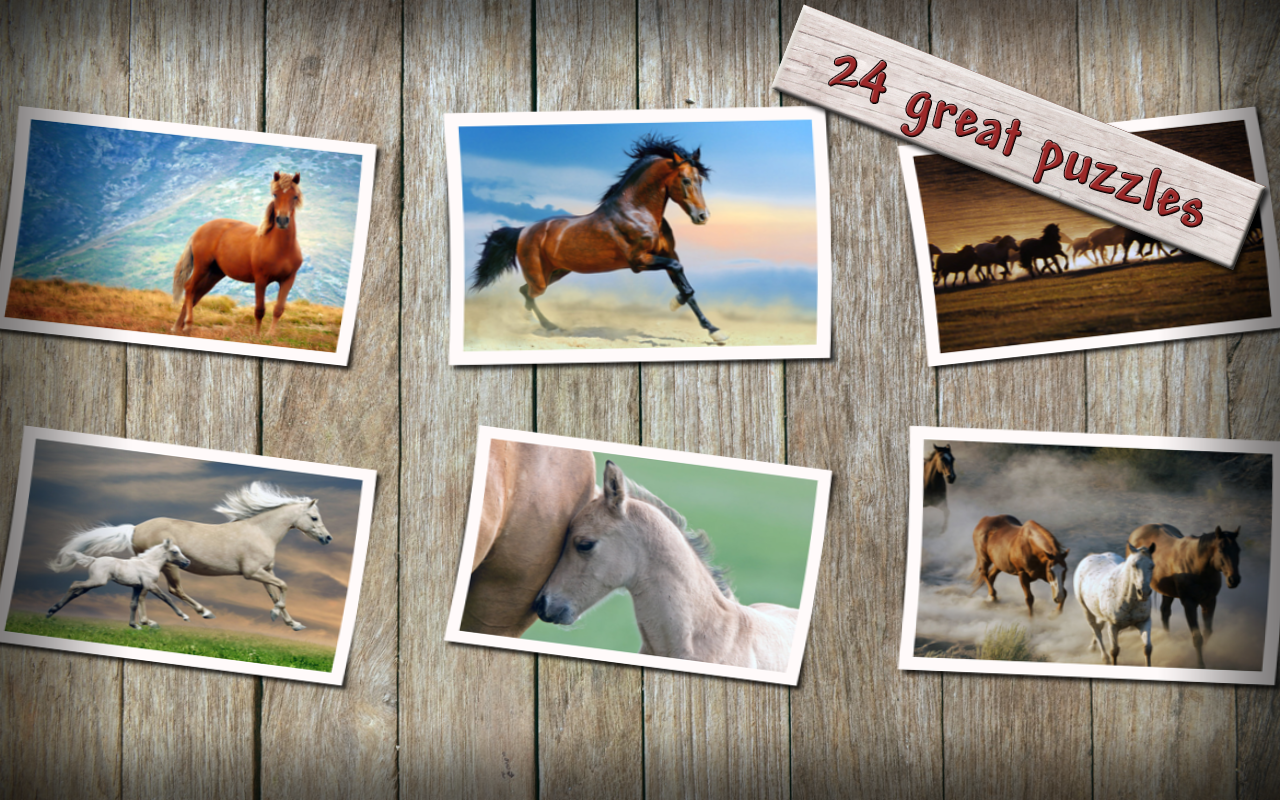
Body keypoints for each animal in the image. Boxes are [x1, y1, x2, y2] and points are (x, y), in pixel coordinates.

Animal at [47, 539, 192, 629]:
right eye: (175, 551)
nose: (187, 562)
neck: (149, 564)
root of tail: (94, 560)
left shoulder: (137, 587)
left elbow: (133, 604)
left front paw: (134, 625)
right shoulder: (150, 585)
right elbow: (167, 599)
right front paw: (185, 616)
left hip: (93, 583)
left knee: (76, 592)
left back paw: (51, 611)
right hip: (97, 581)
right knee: (74, 584)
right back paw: (52, 610)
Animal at [172, 171, 304, 338]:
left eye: (295, 196)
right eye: (275, 194)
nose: (282, 220)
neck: (281, 249)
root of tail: (200, 229)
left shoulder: (288, 280)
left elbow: (278, 310)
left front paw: (270, 335)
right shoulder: (261, 279)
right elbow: (259, 310)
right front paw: (256, 336)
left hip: (214, 274)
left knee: (196, 295)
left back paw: (178, 327)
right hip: (202, 267)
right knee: (189, 288)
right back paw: (188, 325)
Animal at [468, 135, 728, 344]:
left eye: (700, 180)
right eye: (685, 180)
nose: (703, 216)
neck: (637, 212)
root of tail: (523, 230)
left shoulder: (667, 255)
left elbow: (688, 288)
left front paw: (715, 331)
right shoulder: (640, 261)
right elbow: (682, 280)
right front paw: (675, 303)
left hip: (557, 272)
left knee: (525, 291)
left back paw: (540, 323)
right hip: (540, 277)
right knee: (529, 293)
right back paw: (542, 325)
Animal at [1127, 523, 1241, 669]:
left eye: (1238, 550)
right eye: (1221, 550)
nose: (1234, 580)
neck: (1197, 565)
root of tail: (1136, 532)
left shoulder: (1209, 602)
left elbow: (1207, 632)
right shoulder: (1189, 603)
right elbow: (1197, 637)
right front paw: (1200, 664)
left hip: (1167, 592)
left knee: (1165, 612)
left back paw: (1169, 640)